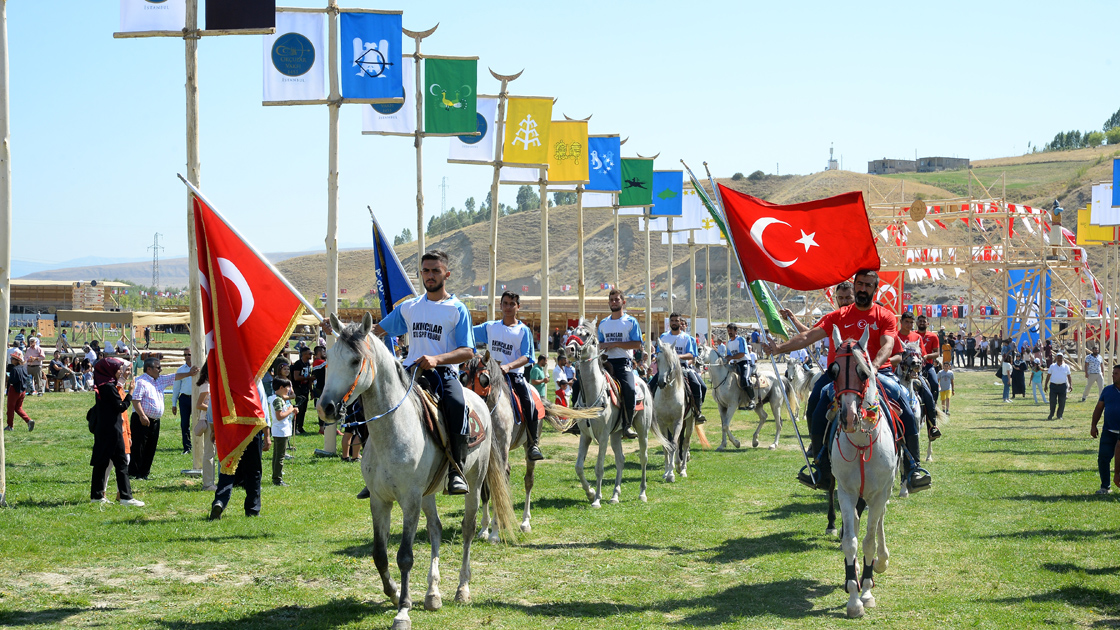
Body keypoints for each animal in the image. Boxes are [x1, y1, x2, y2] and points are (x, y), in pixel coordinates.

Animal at [315, 309, 515, 627]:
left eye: (356, 361)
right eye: (330, 358)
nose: (326, 408)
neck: (392, 430)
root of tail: (480, 402)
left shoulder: (409, 501)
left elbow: (405, 556)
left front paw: (403, 610)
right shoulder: (379, 500)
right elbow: (380, 554)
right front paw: (394, 593)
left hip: (473, 481)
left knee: (468, 528)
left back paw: (462, 589)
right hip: (428, 493)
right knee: (435, 529)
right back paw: (433, 594)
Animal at [568, 318, 654, 504]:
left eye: (586, 334)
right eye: (573, 331)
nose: (569, 349)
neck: (593, 392)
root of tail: (643, 382)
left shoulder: (603, 435)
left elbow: (599, 467)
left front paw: (596, 500)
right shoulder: (585, 435)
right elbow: (578, 467)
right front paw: (591, 492)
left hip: (642, 429)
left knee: (643, 457)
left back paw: (642, 493)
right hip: (616, 434)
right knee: (620, 460)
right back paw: (615, 495)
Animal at [654, 338, 694, 479]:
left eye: (671, 361)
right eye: (657, 359)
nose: (661, 382)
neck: (668, 394)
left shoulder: (678, 421)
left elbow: (674, 444)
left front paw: (671, 473)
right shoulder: (662, 423)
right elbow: (666, 445)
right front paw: (667, 472)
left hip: (690, 421)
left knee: (685, 442)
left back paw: (683, 469)